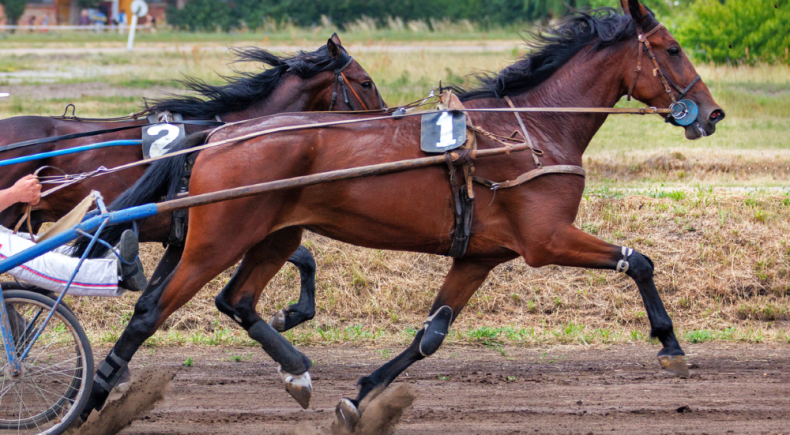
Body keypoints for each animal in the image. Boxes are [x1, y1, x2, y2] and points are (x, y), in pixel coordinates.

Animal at [83, 0, 728, 430]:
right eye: (673, 50)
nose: (713, 113)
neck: (532, 130)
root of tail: (220, 133)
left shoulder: (480, 256)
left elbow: (432, 334)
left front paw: (362, 394)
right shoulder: (547, 239)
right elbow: (638, 261)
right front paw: (669, 344)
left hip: (274, 234)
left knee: (237, 300)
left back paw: (297, 371)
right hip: (217, 237)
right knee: (150, 312)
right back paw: (92, 398)